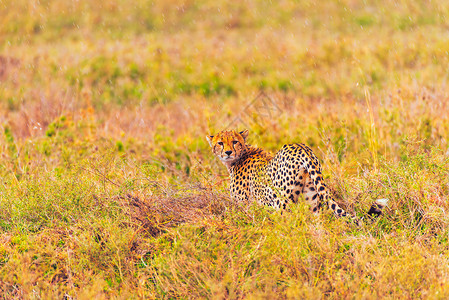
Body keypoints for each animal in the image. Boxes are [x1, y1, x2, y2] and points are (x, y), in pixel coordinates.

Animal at [206, 130, 384, 224]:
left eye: (235, 141)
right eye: (220, 143)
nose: (228, 152)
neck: (242, 154)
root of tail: (301, 147)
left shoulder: (245, 206)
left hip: (282, 203)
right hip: (312, 201)